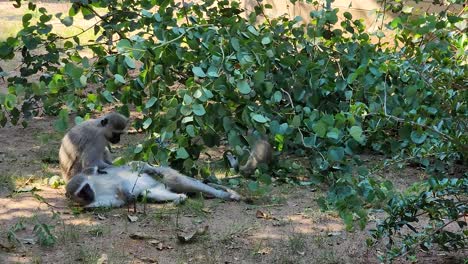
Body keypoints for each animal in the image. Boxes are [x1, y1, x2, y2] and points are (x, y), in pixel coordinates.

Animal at [66, 161, 241, 208]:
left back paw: (224, 194)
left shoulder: (107, 172)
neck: (96, 187)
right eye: (81, 193)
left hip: (168, 175)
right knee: (148, 193)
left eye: (85, 188)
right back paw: (180, 198)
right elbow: (117, 201)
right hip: (157, 188)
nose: (88, 195)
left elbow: (128, 170)